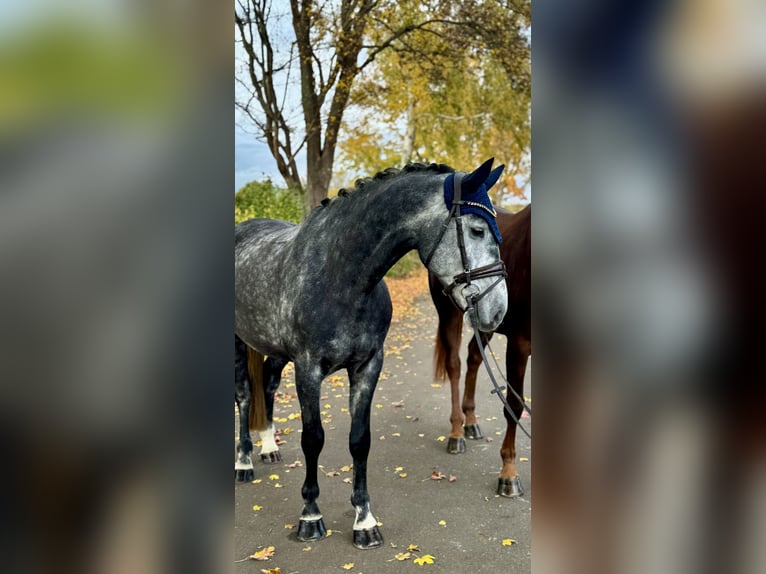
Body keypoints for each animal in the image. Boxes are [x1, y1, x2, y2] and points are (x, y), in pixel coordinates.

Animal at [234, 159, 509, 549]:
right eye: (476, 230)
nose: (498, 310)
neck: (340, 275)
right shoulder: (308, 369)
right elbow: (312, 439)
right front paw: (310, 517)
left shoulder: (368, 366)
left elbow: (359, 440)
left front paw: (364, 521)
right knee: (244, 395)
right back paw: (244, 463)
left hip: (275, 351)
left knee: (268, 386)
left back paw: (269, 447)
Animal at [429, 204, 530, 498]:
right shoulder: (519, 344)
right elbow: (514, 405)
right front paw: (509, 474)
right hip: (450, 312)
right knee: (454, 364)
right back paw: (456, 433)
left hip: (486, 320)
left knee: (474, 356)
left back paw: (471, 421)